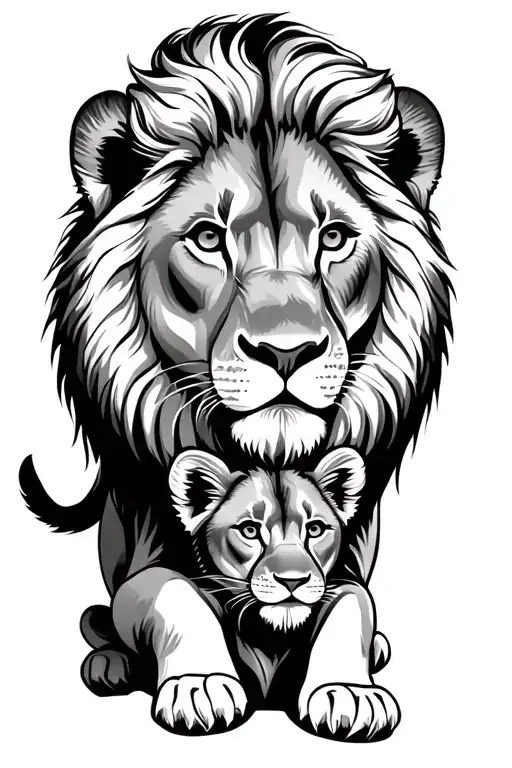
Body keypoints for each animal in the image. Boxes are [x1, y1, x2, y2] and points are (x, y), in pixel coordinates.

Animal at [19, 13, 452, 740]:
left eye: (334, 238)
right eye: (207, 238)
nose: (286, 352)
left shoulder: (345, 573)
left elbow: (350, 606)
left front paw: (348, 690)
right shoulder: (146, 572)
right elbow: (171, 592)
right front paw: (200, 686)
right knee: (96, 621)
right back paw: (109, 664)